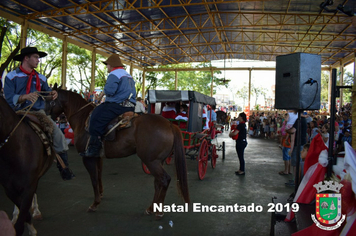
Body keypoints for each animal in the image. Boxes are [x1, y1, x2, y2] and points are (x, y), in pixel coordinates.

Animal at [48, 87, 192, 217]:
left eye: (50, 101)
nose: (49, 117)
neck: (83, 119)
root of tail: (170, 124)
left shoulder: (87, 158)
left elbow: (93, 179)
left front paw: (95, 204)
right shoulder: (97, 157)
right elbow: (99, 176)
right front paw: (100, 194)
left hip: (151, 162)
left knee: (164, 180)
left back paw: (159, 212)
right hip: (157, 161)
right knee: (158, 183)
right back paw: (151, 208)